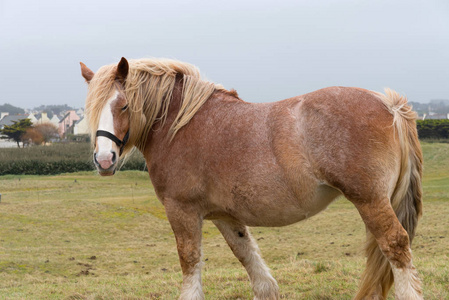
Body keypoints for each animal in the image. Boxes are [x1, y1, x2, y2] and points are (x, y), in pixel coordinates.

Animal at [79, 56, 420, 300]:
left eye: (124, 105)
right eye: (90, 110)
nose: (104, 160)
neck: (180, 125)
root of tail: (389, 104)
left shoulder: (182, 211)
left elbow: (190, 262)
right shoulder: (225, 217)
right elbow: (252, 265)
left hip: (371, 201)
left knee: (396, 245)